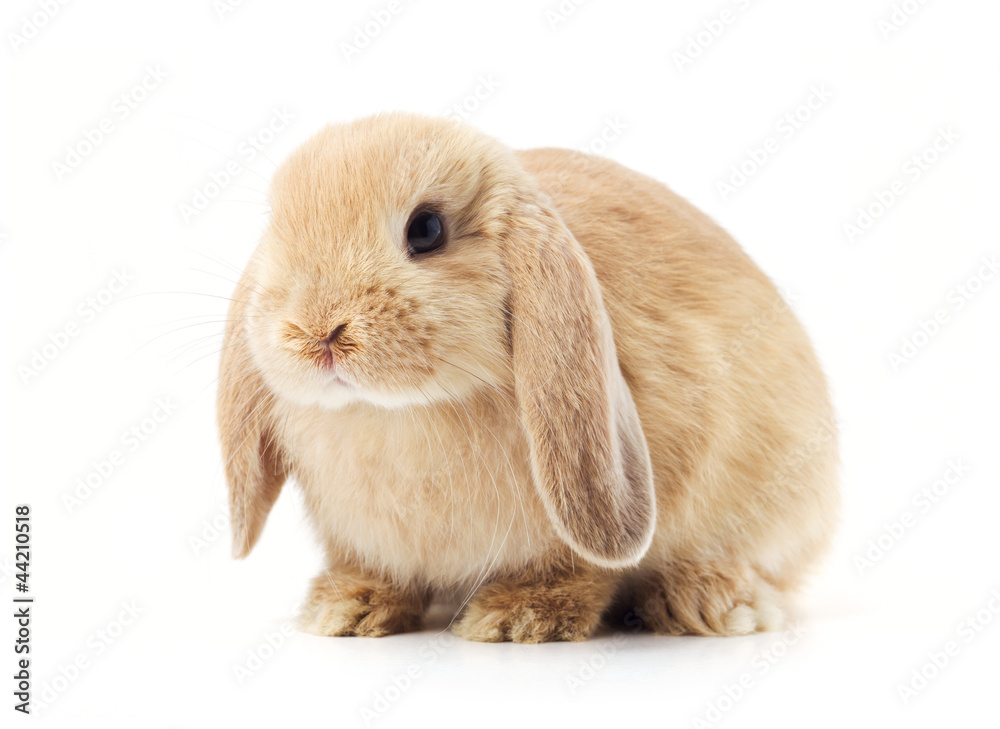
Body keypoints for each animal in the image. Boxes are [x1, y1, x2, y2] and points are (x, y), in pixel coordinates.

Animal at [217, 111, 836, 640]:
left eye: (427, 229)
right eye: (277, 229)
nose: (316, 331)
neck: (400, 411)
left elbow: (580, 568)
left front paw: (518, 617)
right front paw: (346, 608)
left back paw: (708, 602)